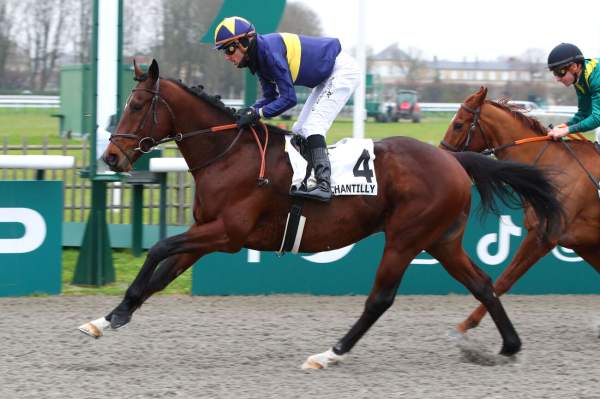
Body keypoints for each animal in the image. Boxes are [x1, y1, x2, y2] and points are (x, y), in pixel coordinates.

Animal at [78, 60, 564, 368]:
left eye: (136, 105)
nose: (111, 157)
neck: (228, 153)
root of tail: (453, 159)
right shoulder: (205, 232)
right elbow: (161, 275)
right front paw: (107, 318)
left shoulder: (226, 234)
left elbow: (158, 248)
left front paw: (113, 314)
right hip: (442, 240)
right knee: (483, 283)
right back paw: (509, 346)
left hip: (406, 236)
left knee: (380, 299)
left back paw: (330, 353)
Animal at [438, 87, 596, 334]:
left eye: (458, 125)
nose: (441, 157)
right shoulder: (582, 242)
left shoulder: (544, 237)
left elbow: (504, 280)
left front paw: (465, 325)